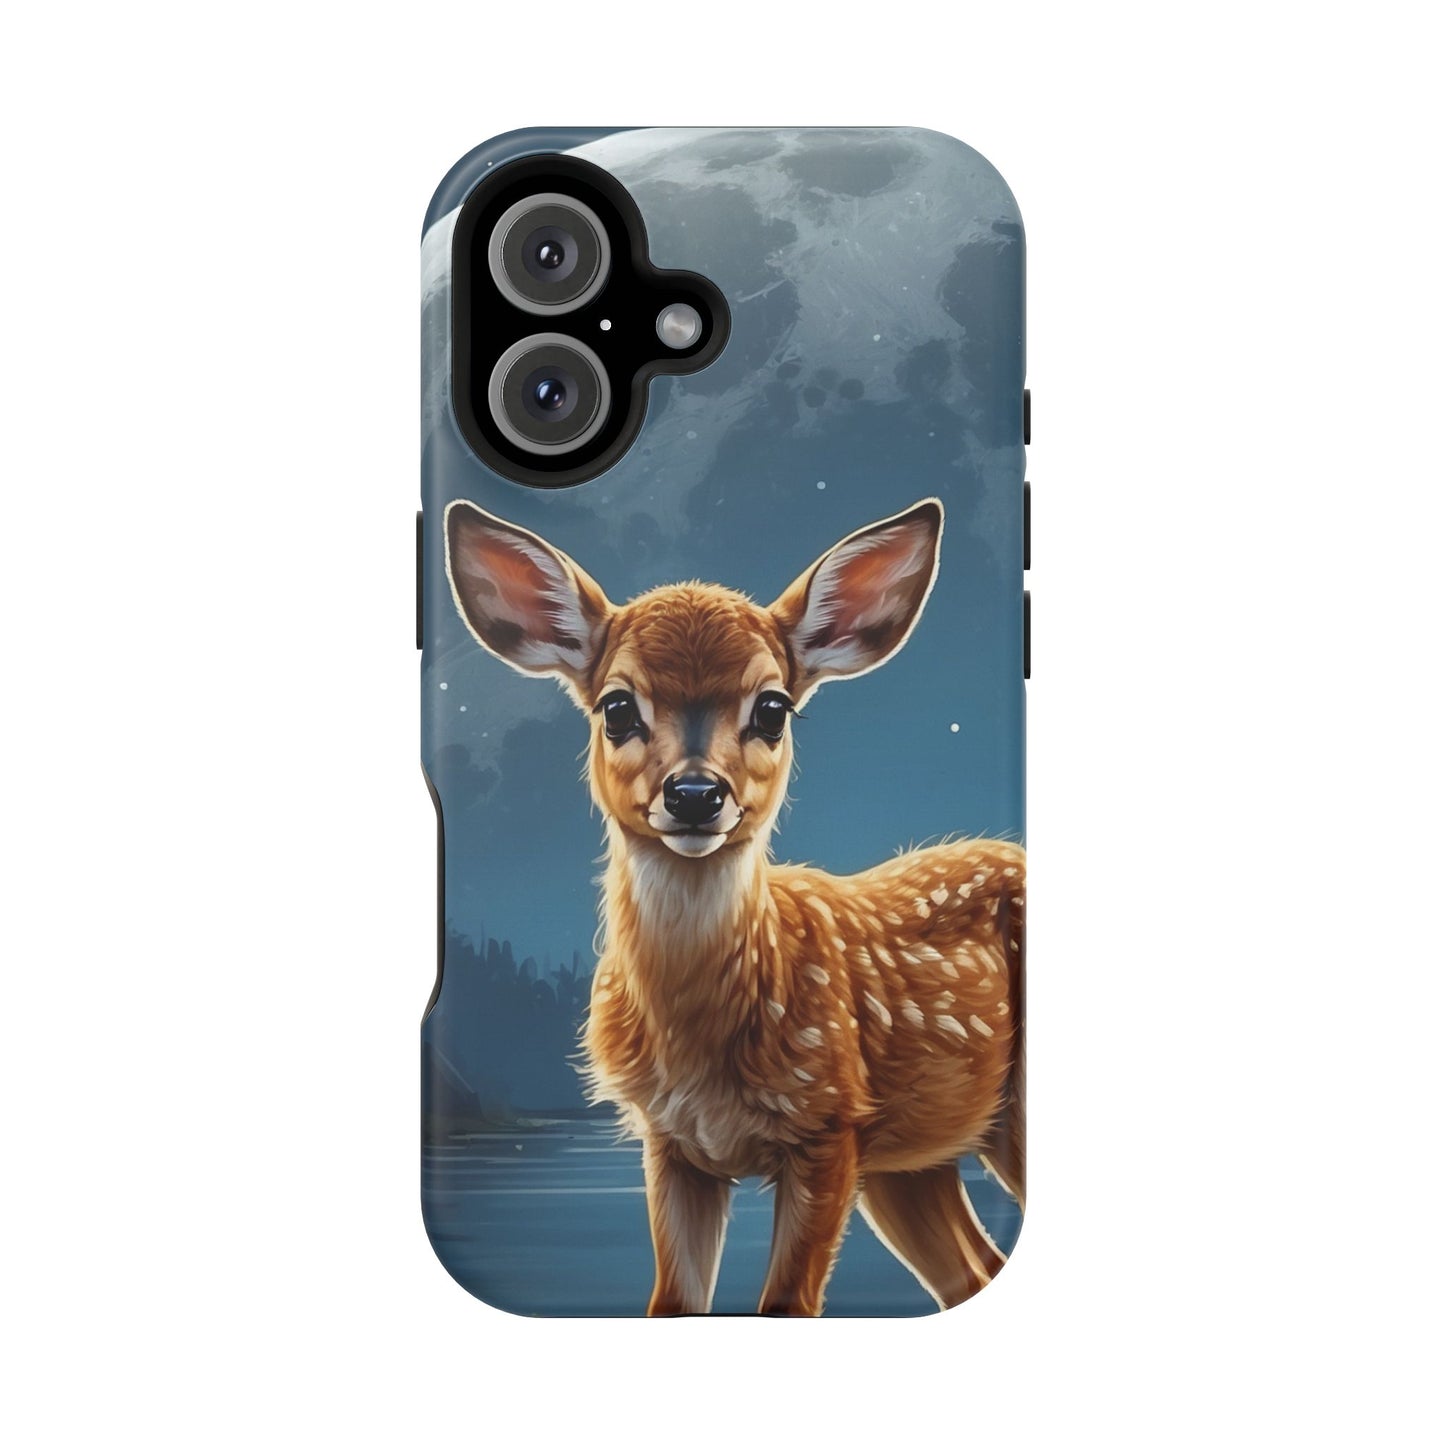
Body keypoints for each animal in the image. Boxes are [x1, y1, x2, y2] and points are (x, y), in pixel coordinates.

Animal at [444, 496, 1024, 1316]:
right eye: (616, 707)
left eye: (773, 708)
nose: (694, 793)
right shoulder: (671, 1143)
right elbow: (672, 1301)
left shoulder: (828, 1125)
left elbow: (784, 1304)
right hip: (911, 1161)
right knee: (975, 1273)